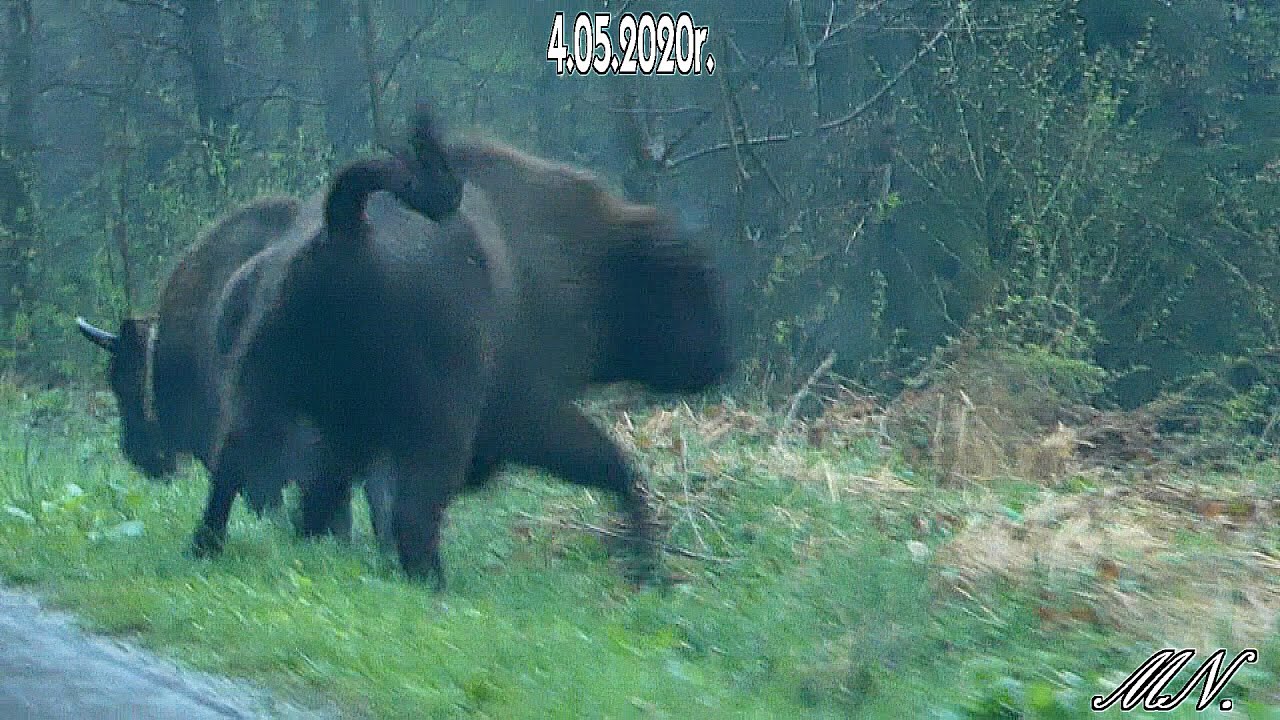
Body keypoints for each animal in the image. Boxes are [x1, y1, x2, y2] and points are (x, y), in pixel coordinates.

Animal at [80, 106, 737, 589]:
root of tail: (346, 227)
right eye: (693, 284)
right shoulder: (528, 413)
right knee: (411, 513)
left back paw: (212, 548)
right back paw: (432, 583)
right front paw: (647, 567)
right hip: (432, 430)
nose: (720, 360)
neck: (591, 257)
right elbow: (610, 463)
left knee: (236, 473)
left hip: (265, 399)